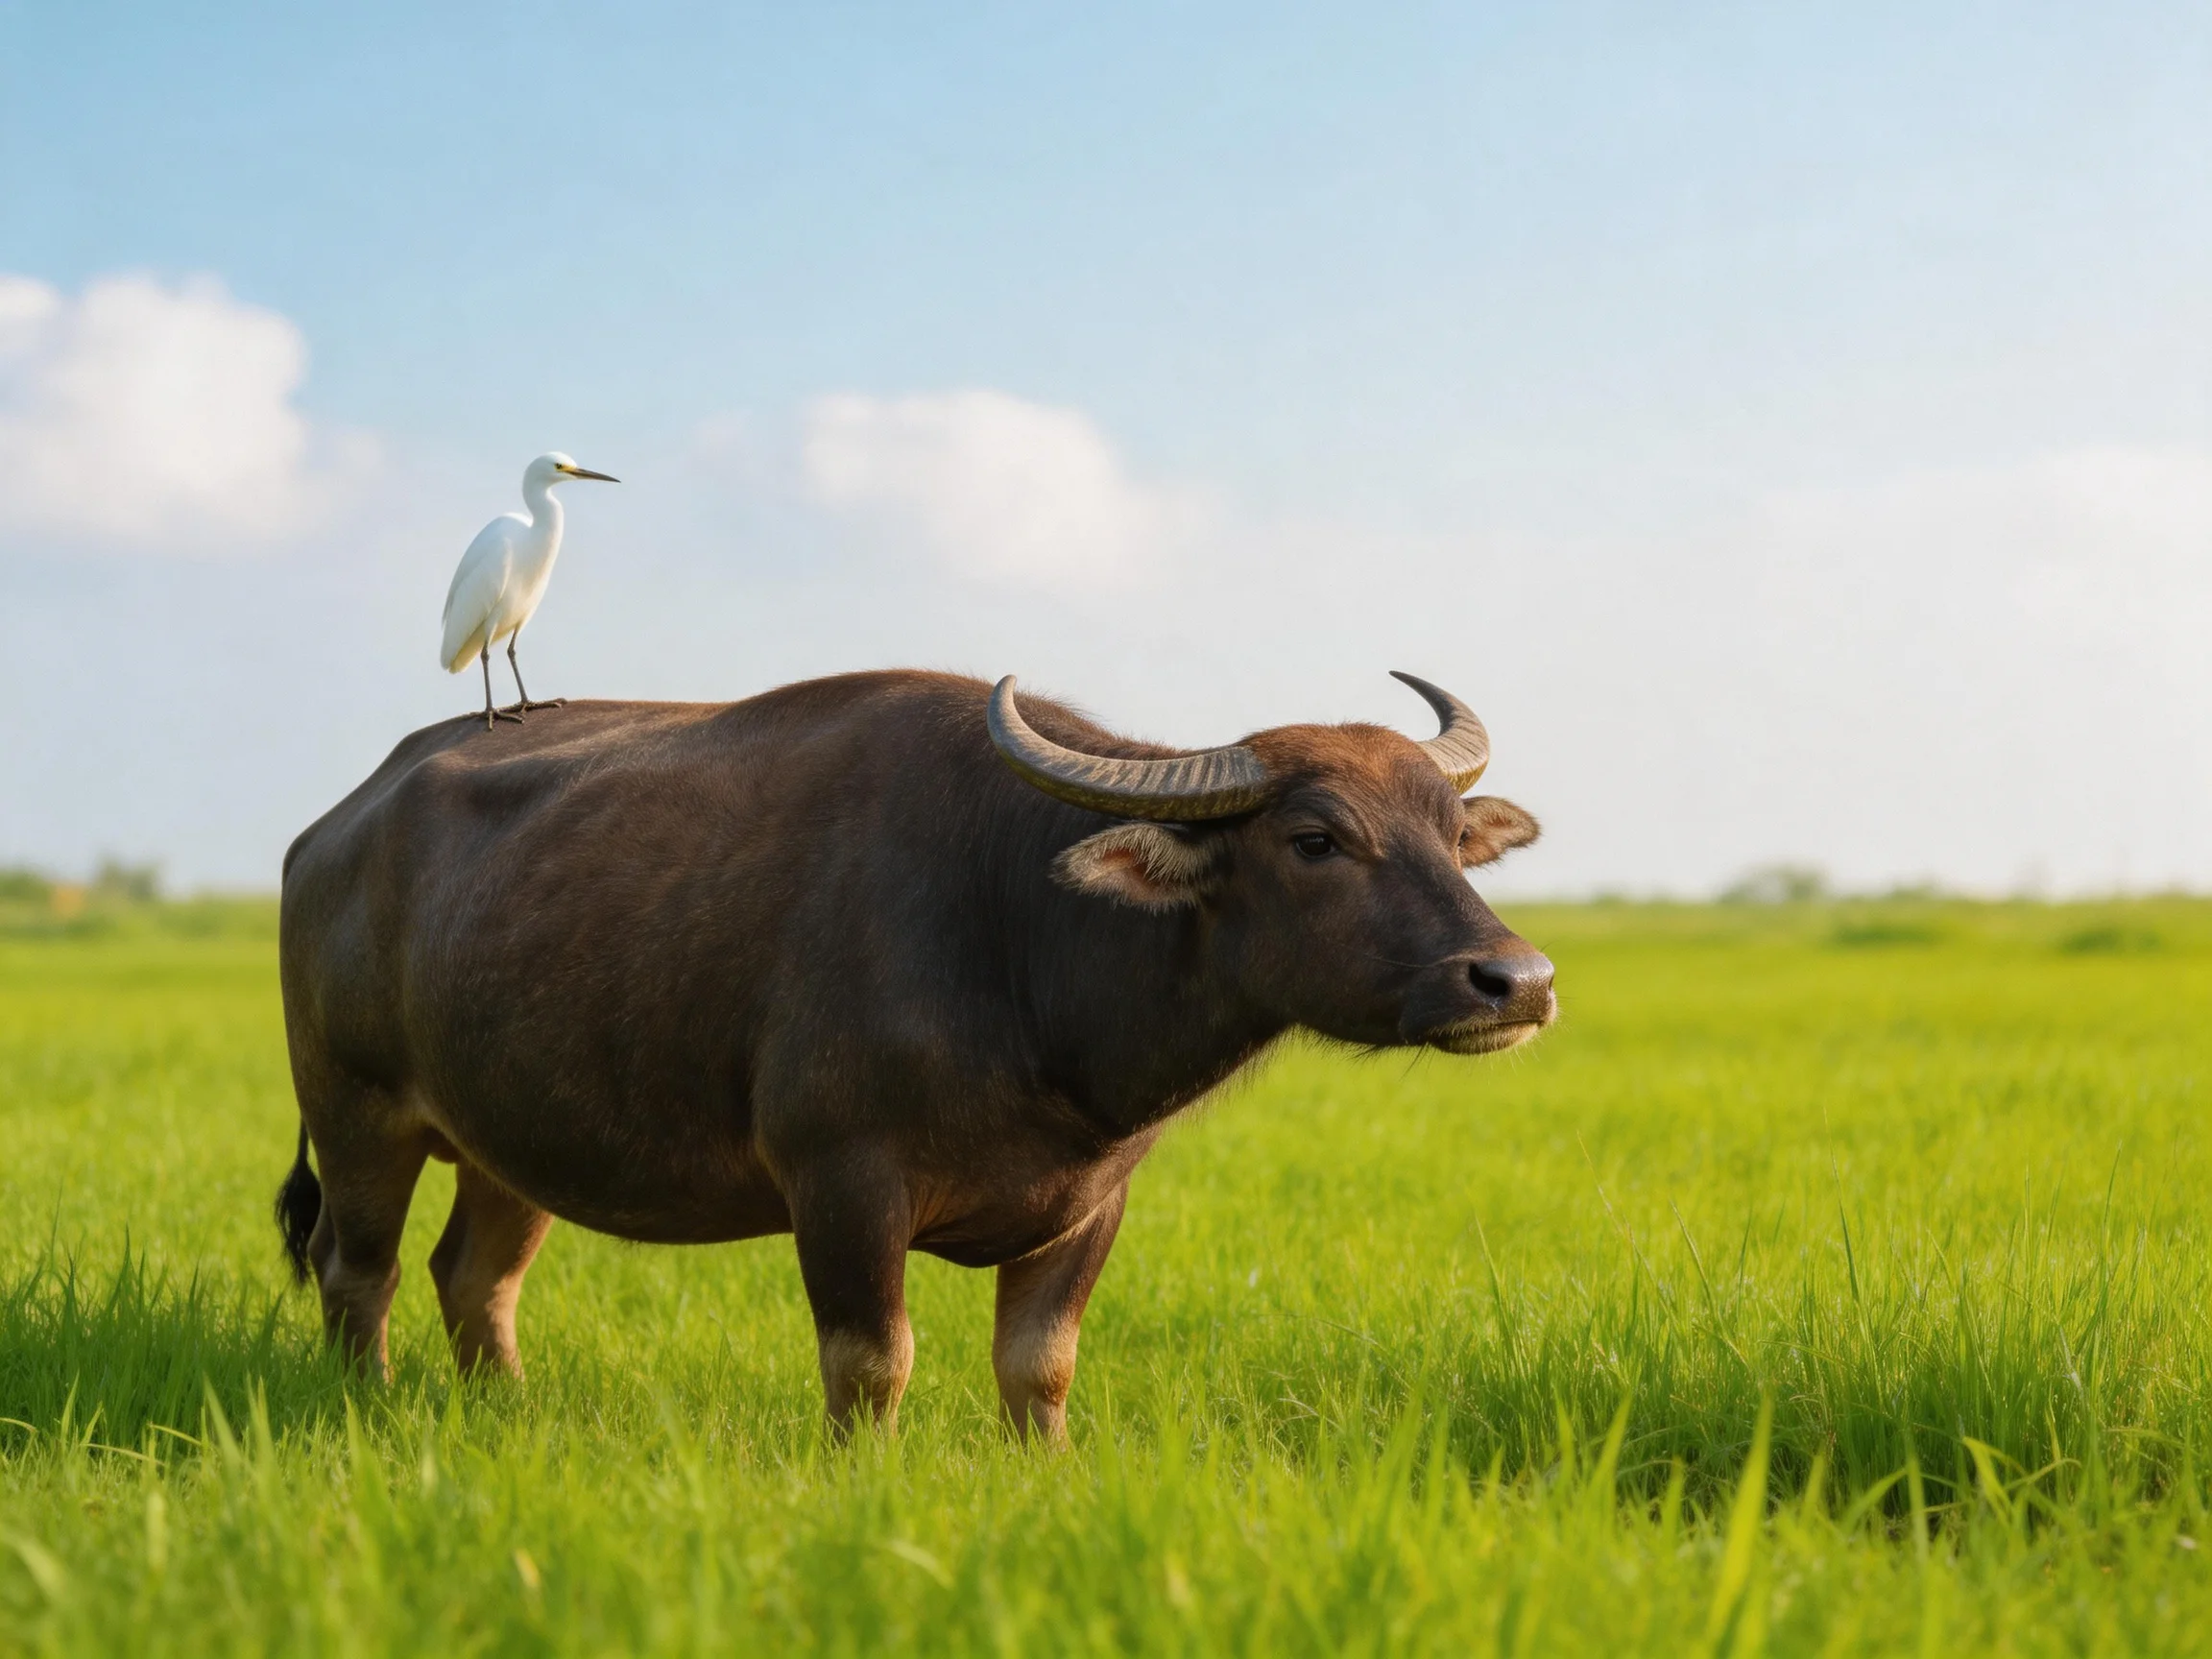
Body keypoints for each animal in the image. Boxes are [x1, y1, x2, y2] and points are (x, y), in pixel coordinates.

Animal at [275, 669, 1553, 1436]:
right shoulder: (841, 1181)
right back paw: (365, 1409)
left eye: (1452, 834)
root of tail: (330, 829)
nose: (1519, 982)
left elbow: (1039, 1366)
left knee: (475, 1277)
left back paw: (505, 1413)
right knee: (358, 1271)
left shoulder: (1093, 1204)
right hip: (357, 1113)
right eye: (1314, 838)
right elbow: (871, 1363)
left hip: (508, 1139)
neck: (1021, 940)